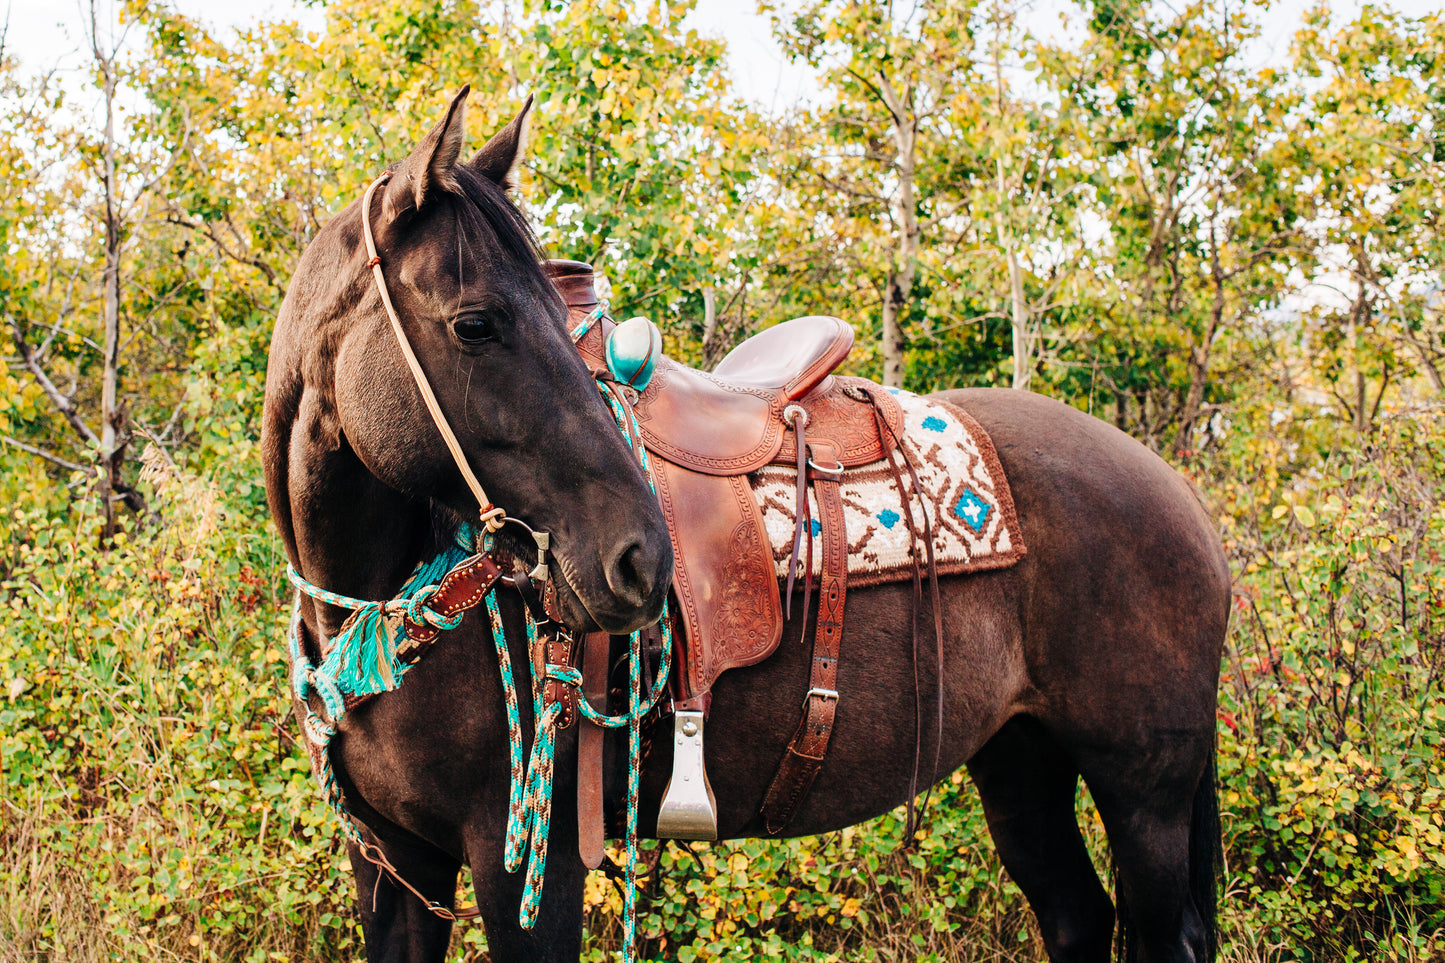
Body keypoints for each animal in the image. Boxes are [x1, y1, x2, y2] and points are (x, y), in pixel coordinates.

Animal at [262, 84, 1231, 960]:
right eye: (475, 323)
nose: (638, 557)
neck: (378, 607)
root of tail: (1180, 494)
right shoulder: (393, 863)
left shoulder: (531, 870)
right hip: (1023, 763)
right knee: (1076, 918)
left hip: (1143, 793)